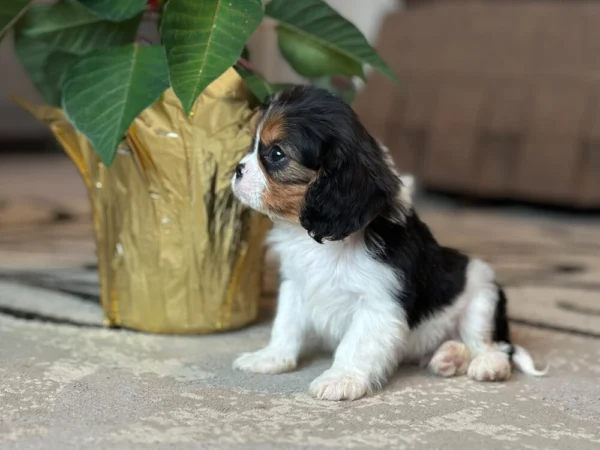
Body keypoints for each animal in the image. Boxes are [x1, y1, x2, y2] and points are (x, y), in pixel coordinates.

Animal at [231, 85, 548, 400]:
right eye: (253, 146)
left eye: (276, 153)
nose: (236, 169)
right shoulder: (295, 285)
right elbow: (286, 325)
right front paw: (271, 358)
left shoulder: (378, 302)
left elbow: (355, 344)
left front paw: (341, 379)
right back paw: (448, 357)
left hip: (482, 295)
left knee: (493, 346)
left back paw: (488, 365)